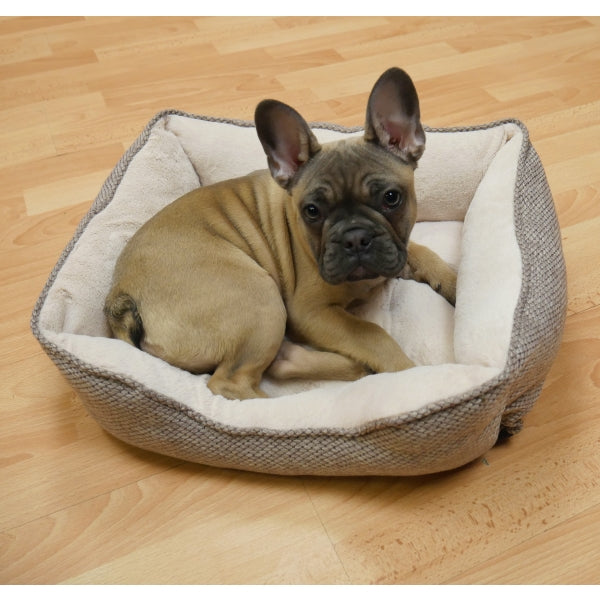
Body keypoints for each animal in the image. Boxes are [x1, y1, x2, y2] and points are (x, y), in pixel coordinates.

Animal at [105, 67, 458, 398]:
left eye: (391, 197)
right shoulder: (311, 311)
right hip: (261, 297)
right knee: (232, 383)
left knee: (280, 363)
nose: (355, 238)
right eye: (312, 211)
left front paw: (454, 282)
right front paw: (410, 378)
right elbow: (373, 335)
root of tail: (121, 294)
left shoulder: (395, 249)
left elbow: (421, 252)